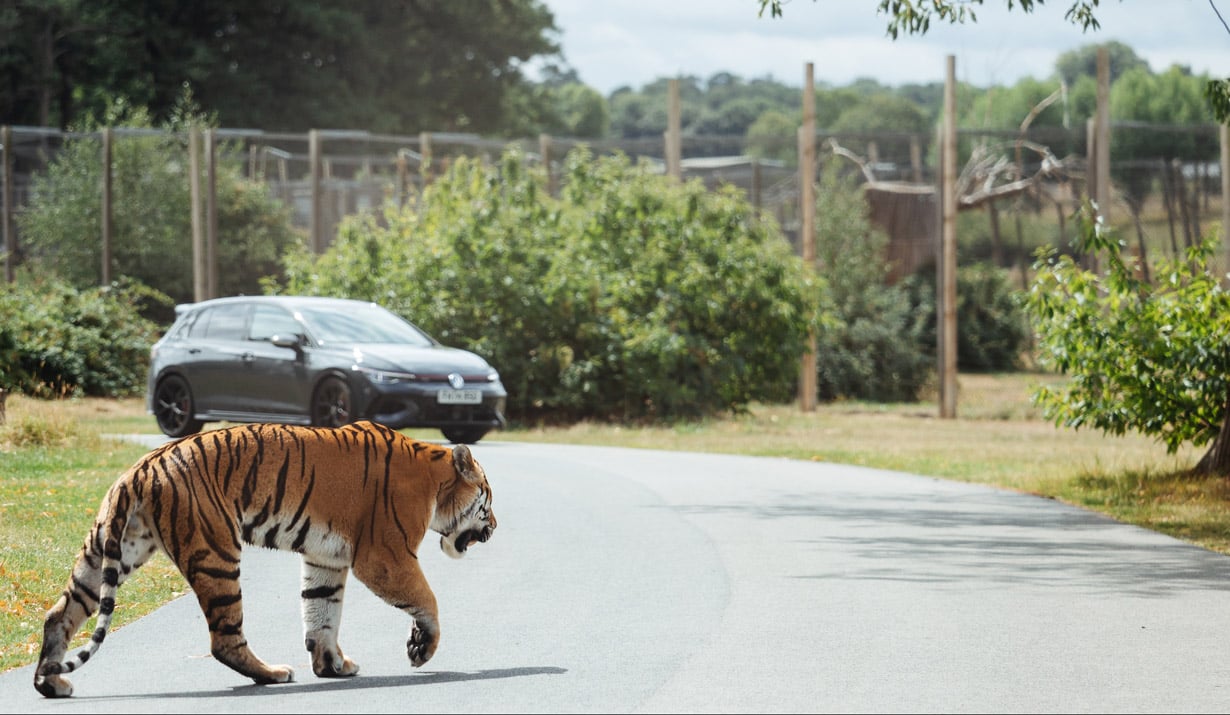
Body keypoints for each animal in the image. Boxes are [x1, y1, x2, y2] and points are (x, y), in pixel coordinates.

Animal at [33, 420, 496, 698]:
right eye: (487, 502)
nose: (494, 527)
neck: (433, 479)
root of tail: (143, 466)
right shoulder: (385, 555)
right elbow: (427, 599)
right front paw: (421, 648)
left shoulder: (326, 558)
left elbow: (322, 613)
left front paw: (332, 665)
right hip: (217, 552)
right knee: (224, 639)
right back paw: (273, 674)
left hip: (110, 550)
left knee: (58, 615)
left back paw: (51, 682)